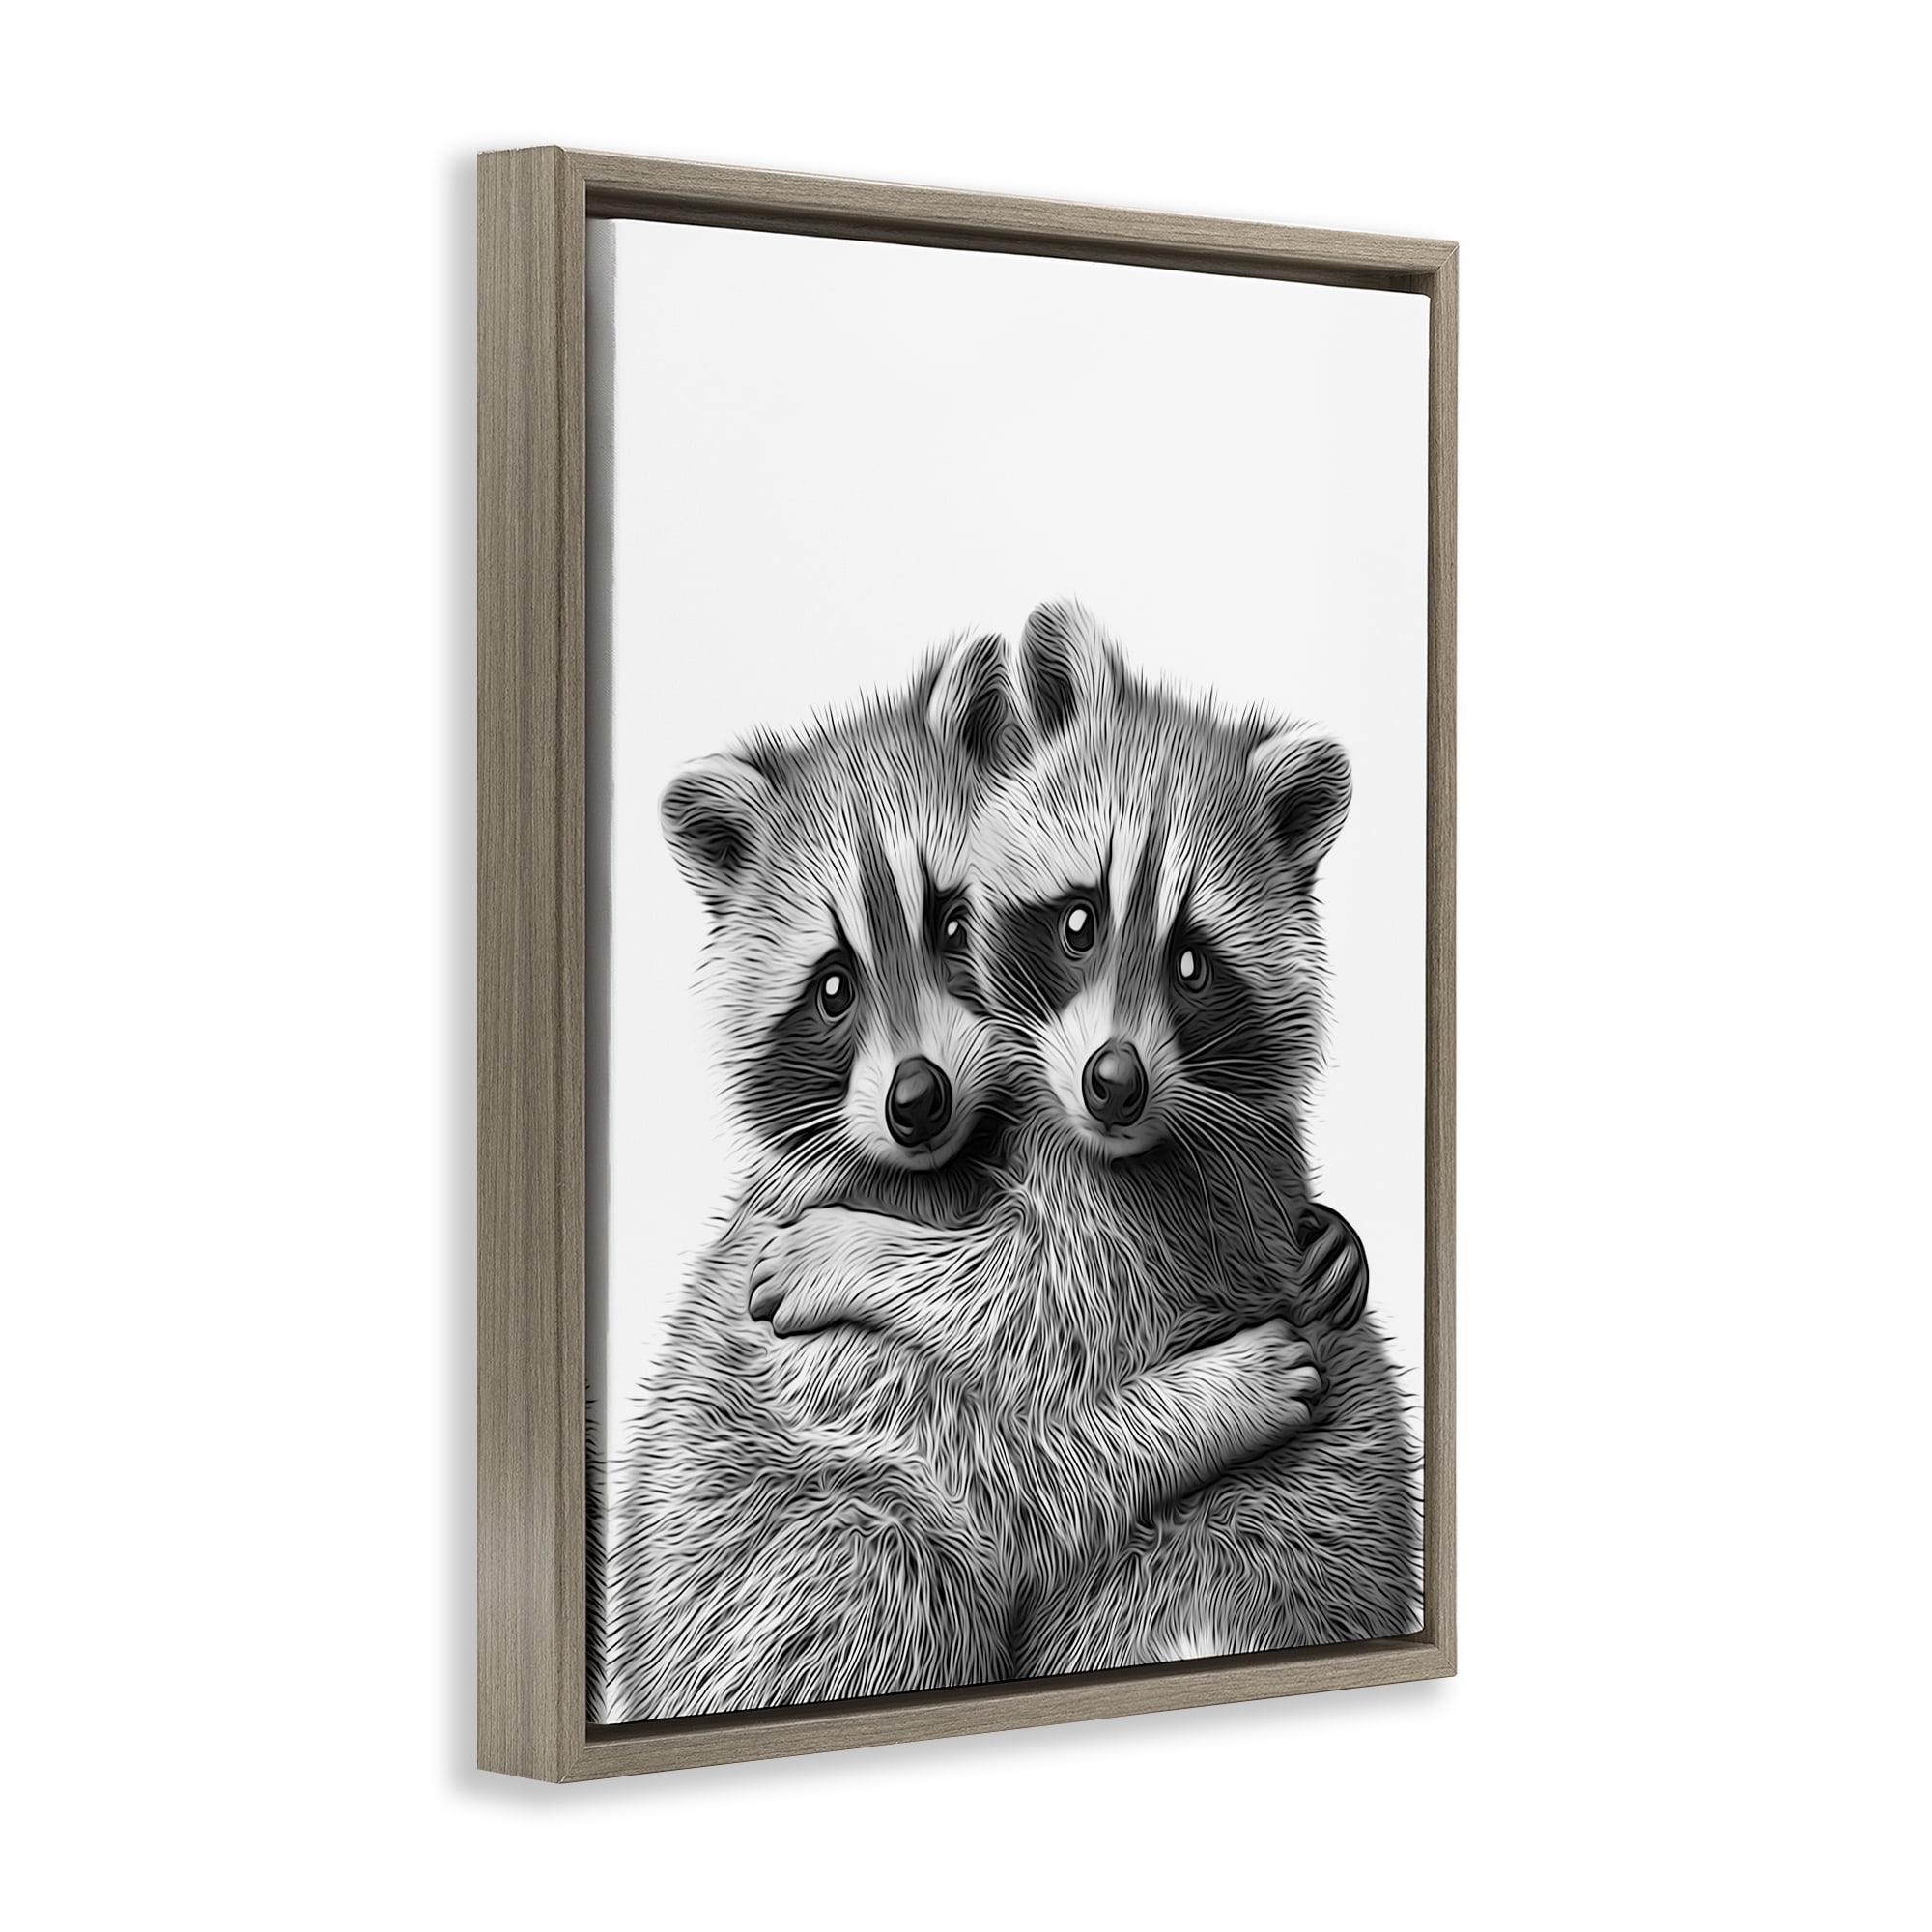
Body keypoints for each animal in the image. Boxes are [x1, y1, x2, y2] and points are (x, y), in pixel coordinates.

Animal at [598, 632, 1320, 1721]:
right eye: (832, 988)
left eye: (948, 926)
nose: (918, 1098)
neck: (953, 1160)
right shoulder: (808, 1361)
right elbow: (1007, 1484)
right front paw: (1207, 1401)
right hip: (812, 1579)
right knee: (883, 1557)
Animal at [752, 604, 1418, 1674]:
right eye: (1077, 922)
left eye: (1192, 962)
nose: (1114, 1082)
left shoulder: (1164, 1209)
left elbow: (1028, 1300)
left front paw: (847, 1249)